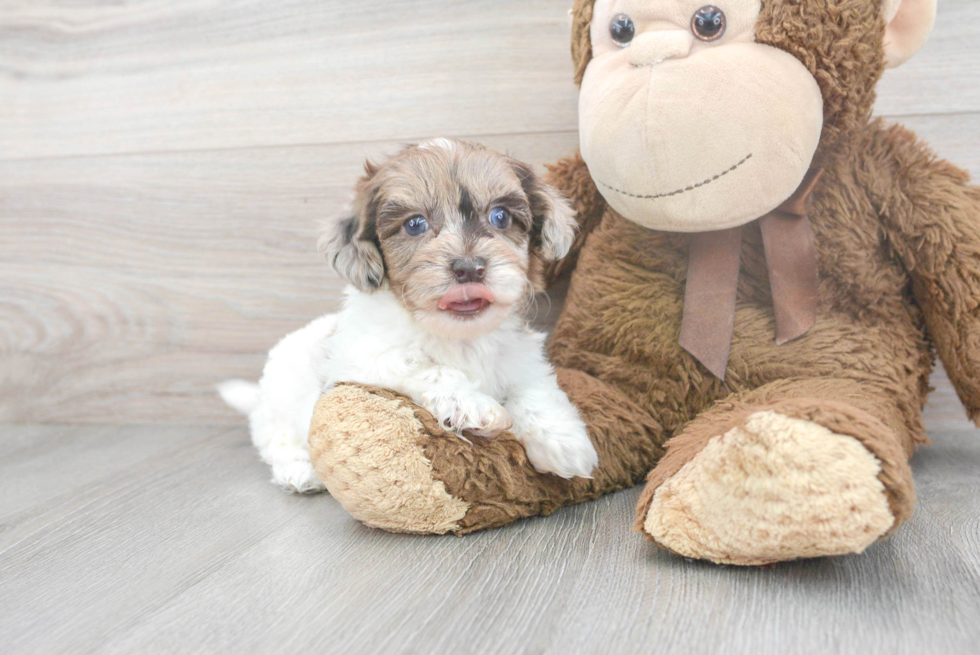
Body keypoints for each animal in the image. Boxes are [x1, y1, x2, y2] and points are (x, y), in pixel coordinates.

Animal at [217, 140, 592, 498]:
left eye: (500, 217)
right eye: (414, 224)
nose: (469, 267)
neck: (459, 337)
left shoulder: (520, 356)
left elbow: (535, 389)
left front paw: (564, 440)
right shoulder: (364, 359)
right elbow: (425, 366)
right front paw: (473, 405)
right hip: (282, 399)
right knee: (277, 441)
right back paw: (299, 472)